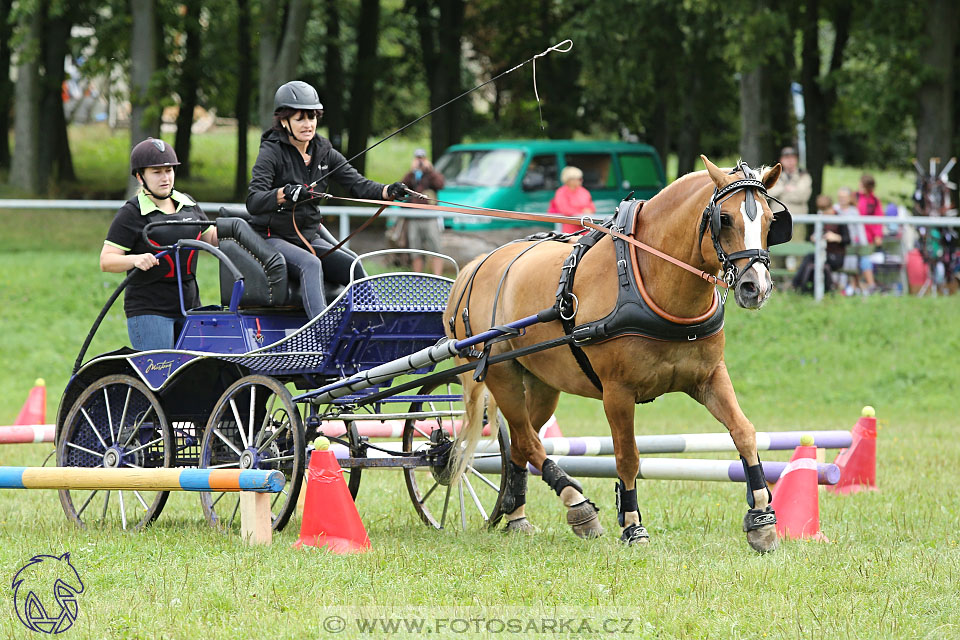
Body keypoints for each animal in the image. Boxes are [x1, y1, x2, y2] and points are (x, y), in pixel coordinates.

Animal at [442, 155, 788, 552]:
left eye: (770, 220)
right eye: (725, 218)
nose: (755, 288)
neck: (650, 278)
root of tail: (475, 266)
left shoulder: (710, 377)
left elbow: (744, 432)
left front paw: (761, 518)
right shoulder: (617, 393)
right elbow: (627, 456)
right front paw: (633, 526)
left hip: (542, 385)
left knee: (520, 441)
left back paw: (518, 517)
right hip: (504, 377)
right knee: (528, 440)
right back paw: (577, 504)